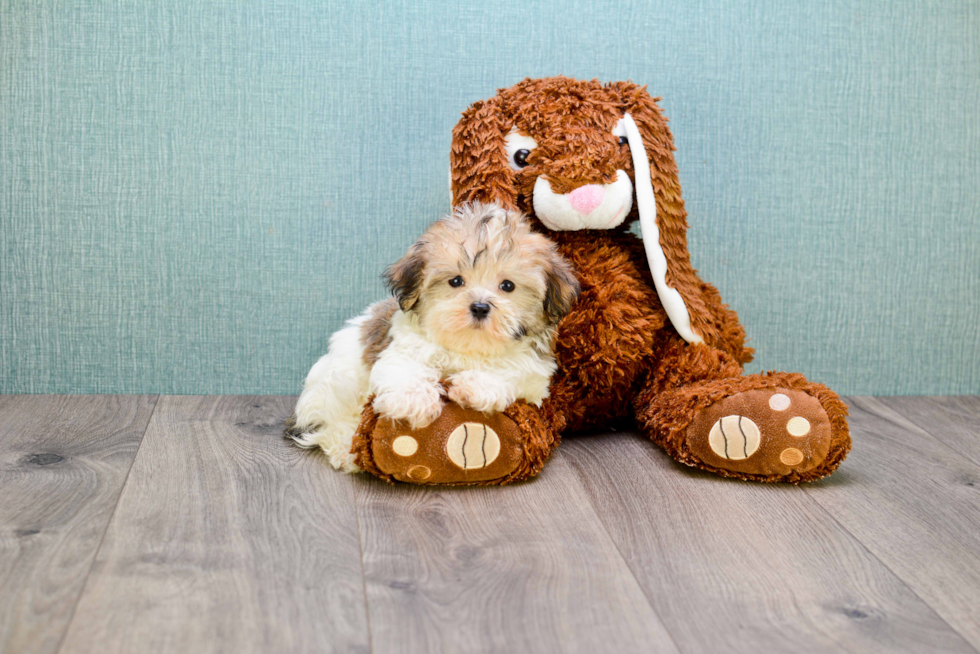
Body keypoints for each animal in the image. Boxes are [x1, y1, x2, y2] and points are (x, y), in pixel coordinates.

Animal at [288, 201, 580, 472]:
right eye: (456, 281)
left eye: (507, 285)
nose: (480, 307)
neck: (468, 347)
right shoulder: (403, 348)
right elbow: (405, 368)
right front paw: (412, 400)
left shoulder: (535, 375)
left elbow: (510, 371)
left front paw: (475, 386)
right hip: (339, 383)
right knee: (332, 422)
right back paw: (345, 447)